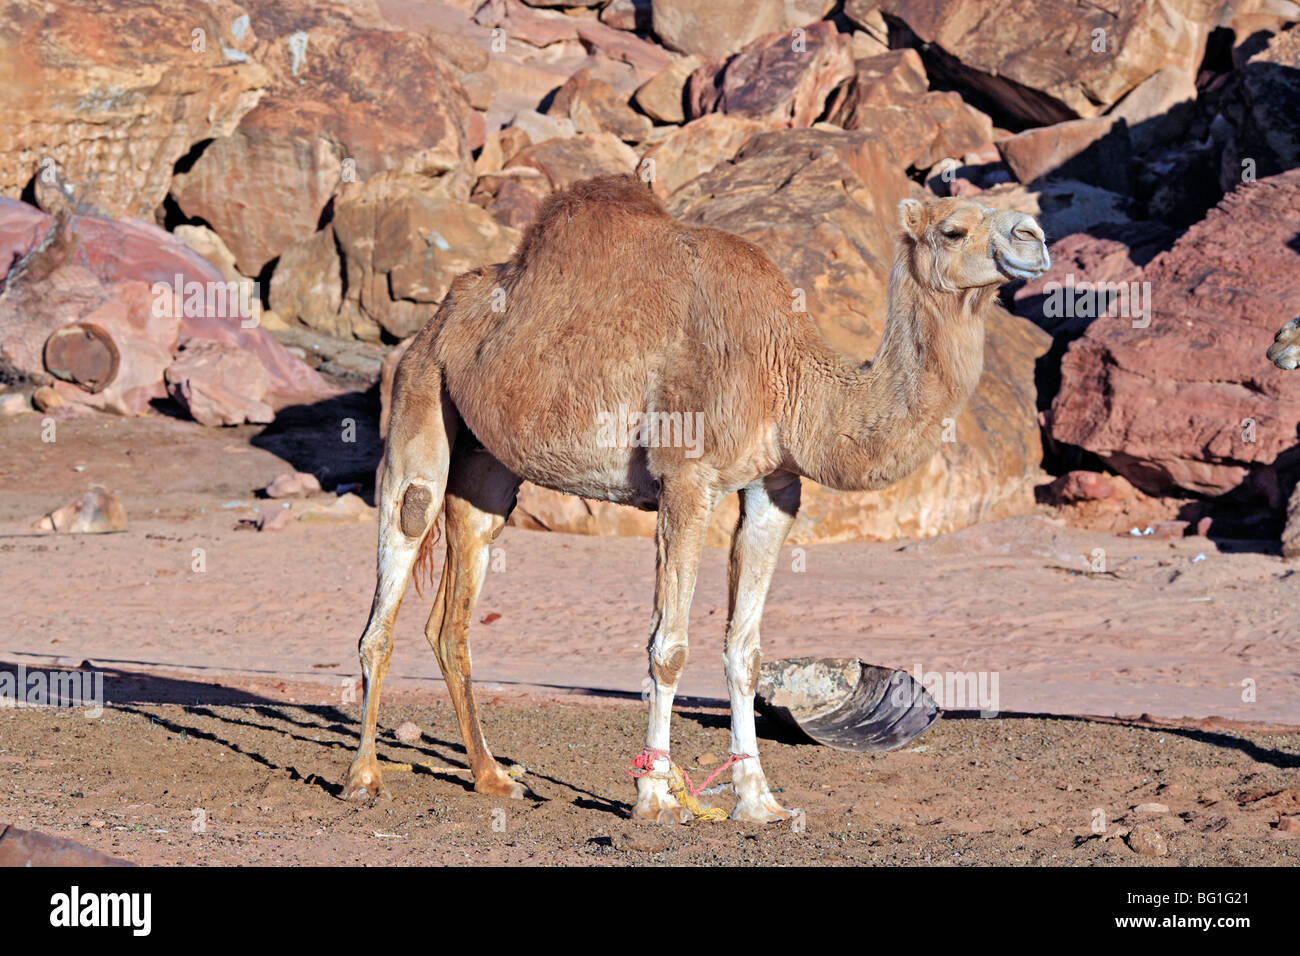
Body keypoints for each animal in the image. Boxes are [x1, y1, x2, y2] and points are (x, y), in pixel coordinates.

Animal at [342, 175, 1050, 823]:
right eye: (953, 229)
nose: (1033, 238)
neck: (788, 374)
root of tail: (440, 317)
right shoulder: (685, 475)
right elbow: (670, 648)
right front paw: (654, 797)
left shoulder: (776, 488)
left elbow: (746, 651)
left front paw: (758, 801)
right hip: (420, 393)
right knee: (399, 550)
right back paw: (365, 777)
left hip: (489, 463)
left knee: (453, 609)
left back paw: (493, 778)